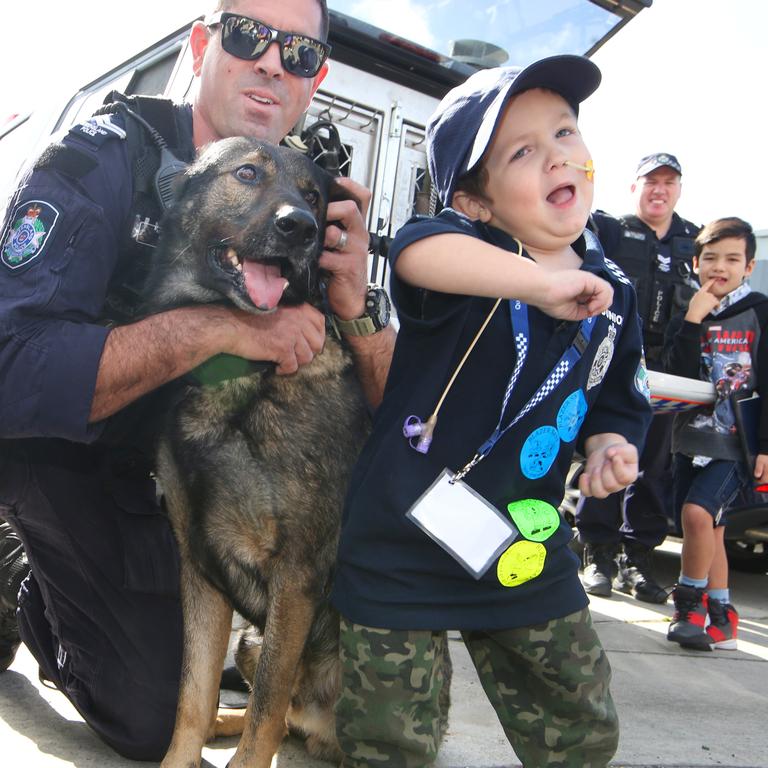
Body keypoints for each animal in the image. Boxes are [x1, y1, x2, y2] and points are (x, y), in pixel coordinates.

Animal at [146, 138, 374, 768]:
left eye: (316, 197)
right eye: (247, 173)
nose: (300, 228)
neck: (243, 374)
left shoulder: (295, 579)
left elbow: (265, 714)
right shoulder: (198, 570)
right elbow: (192, 697)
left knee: (285, 714)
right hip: (249, 641)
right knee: (250, 709)